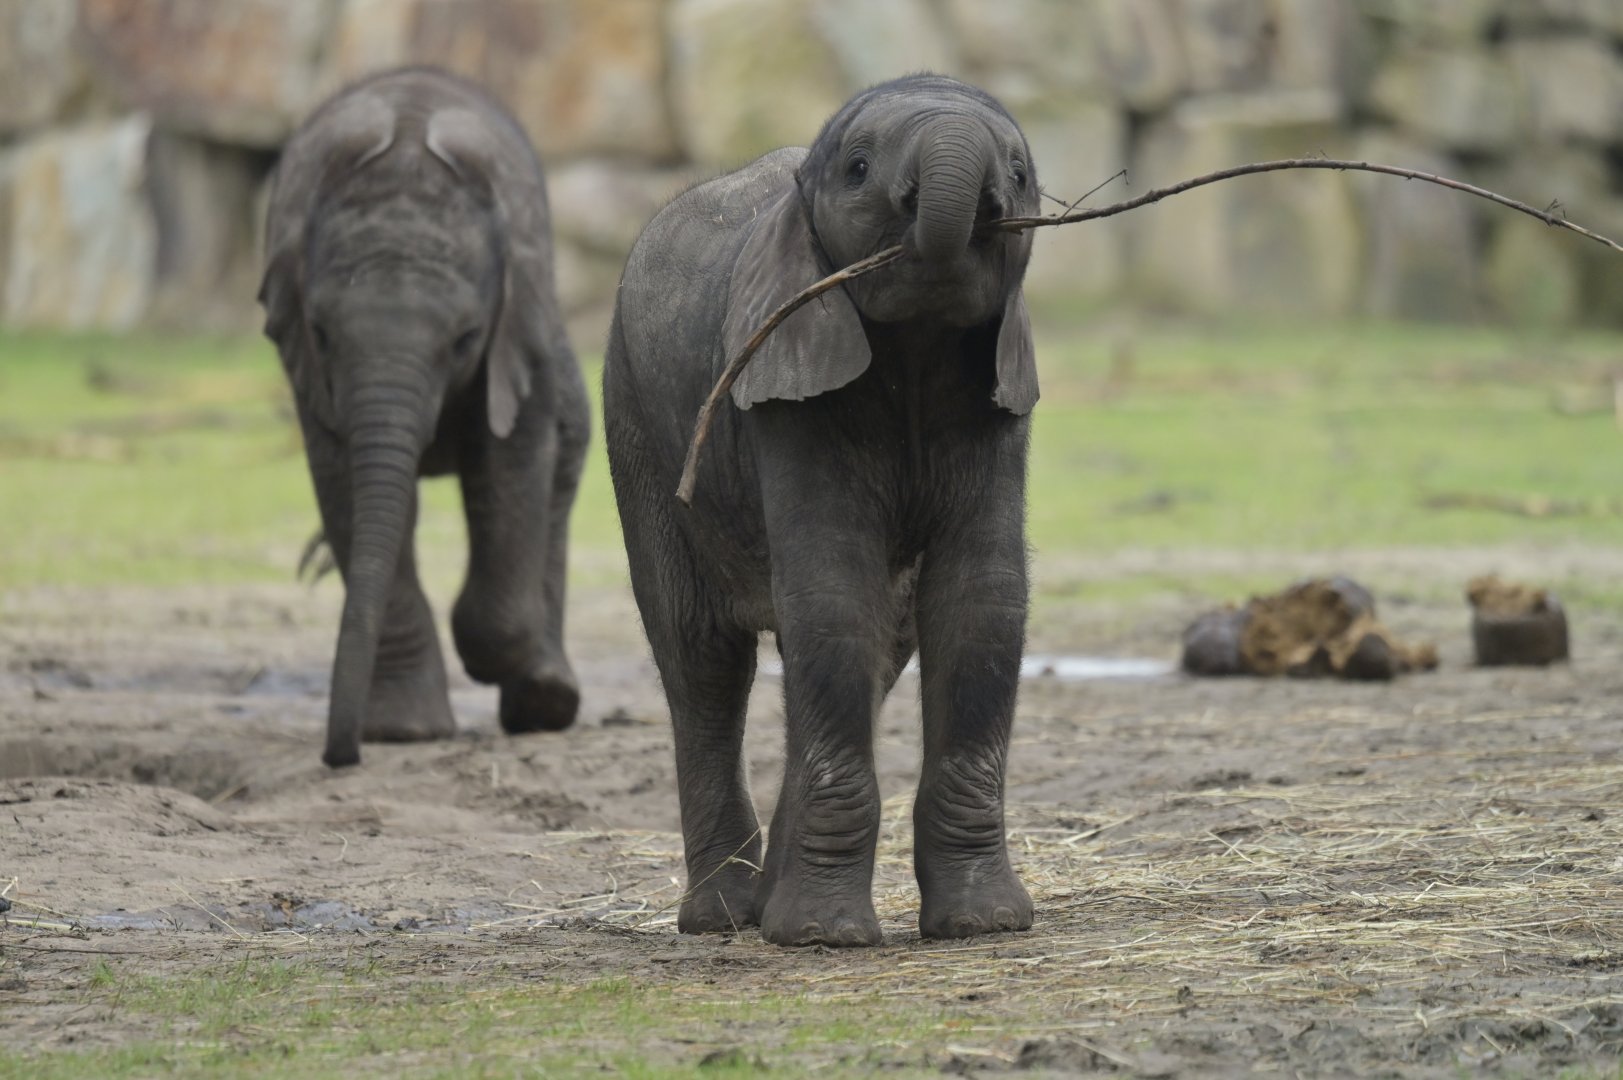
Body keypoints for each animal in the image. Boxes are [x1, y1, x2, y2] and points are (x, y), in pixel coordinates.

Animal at [260, 68, 589, 768]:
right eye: (322, 334)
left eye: (465, 339)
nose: (338, 756)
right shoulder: (310, 369)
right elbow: (346, 484)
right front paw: (405, 733)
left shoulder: (516, 336)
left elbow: (510, 462)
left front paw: (498, 660)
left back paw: (545, 703)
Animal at [604, 74, 1040, 947]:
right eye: (858, 168)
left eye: (1017, 170)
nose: (975, 204)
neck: (918, 343)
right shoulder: (788, 382)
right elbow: (832, 596)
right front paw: (824, 939)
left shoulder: (995, 389)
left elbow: (979, 600)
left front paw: (983, 924)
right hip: (628, 407)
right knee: (700, 654)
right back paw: (723, 918)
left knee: (878, 642)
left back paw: (768, 907)